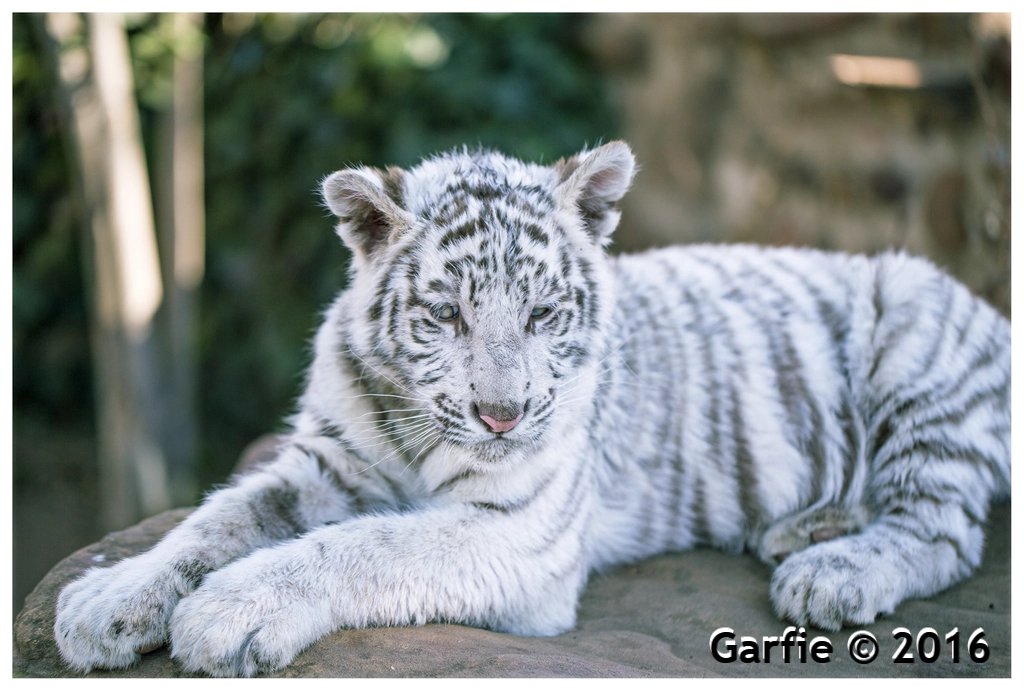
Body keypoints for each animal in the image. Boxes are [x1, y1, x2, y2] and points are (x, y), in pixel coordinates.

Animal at [54, 141, 1011, 677]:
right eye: (446, 314)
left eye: (544, 314)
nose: (502, 417)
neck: (412, 428)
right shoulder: (327, 459)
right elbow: (217, 517)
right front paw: (107, 600)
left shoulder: (518, 527)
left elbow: (362, 545)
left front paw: (227, 610)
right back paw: (802, 528)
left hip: (913, 335)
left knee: (944, 529)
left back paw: (830, 570)